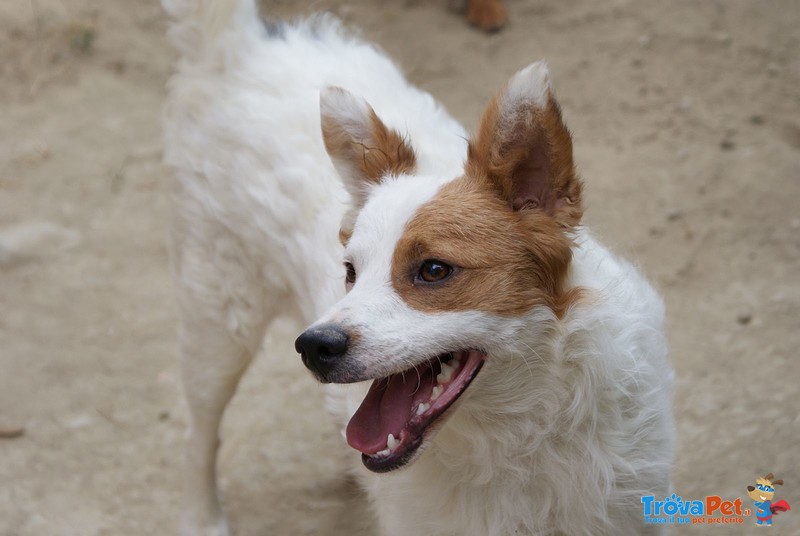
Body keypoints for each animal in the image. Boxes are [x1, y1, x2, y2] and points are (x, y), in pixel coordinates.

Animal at [162, 2, 676, 532]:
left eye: (433, 270)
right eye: (350, 272)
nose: (314, 346)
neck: (518, 434)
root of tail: (238, 46)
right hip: (218, 321)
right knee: (199, 433)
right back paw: (201, 518)